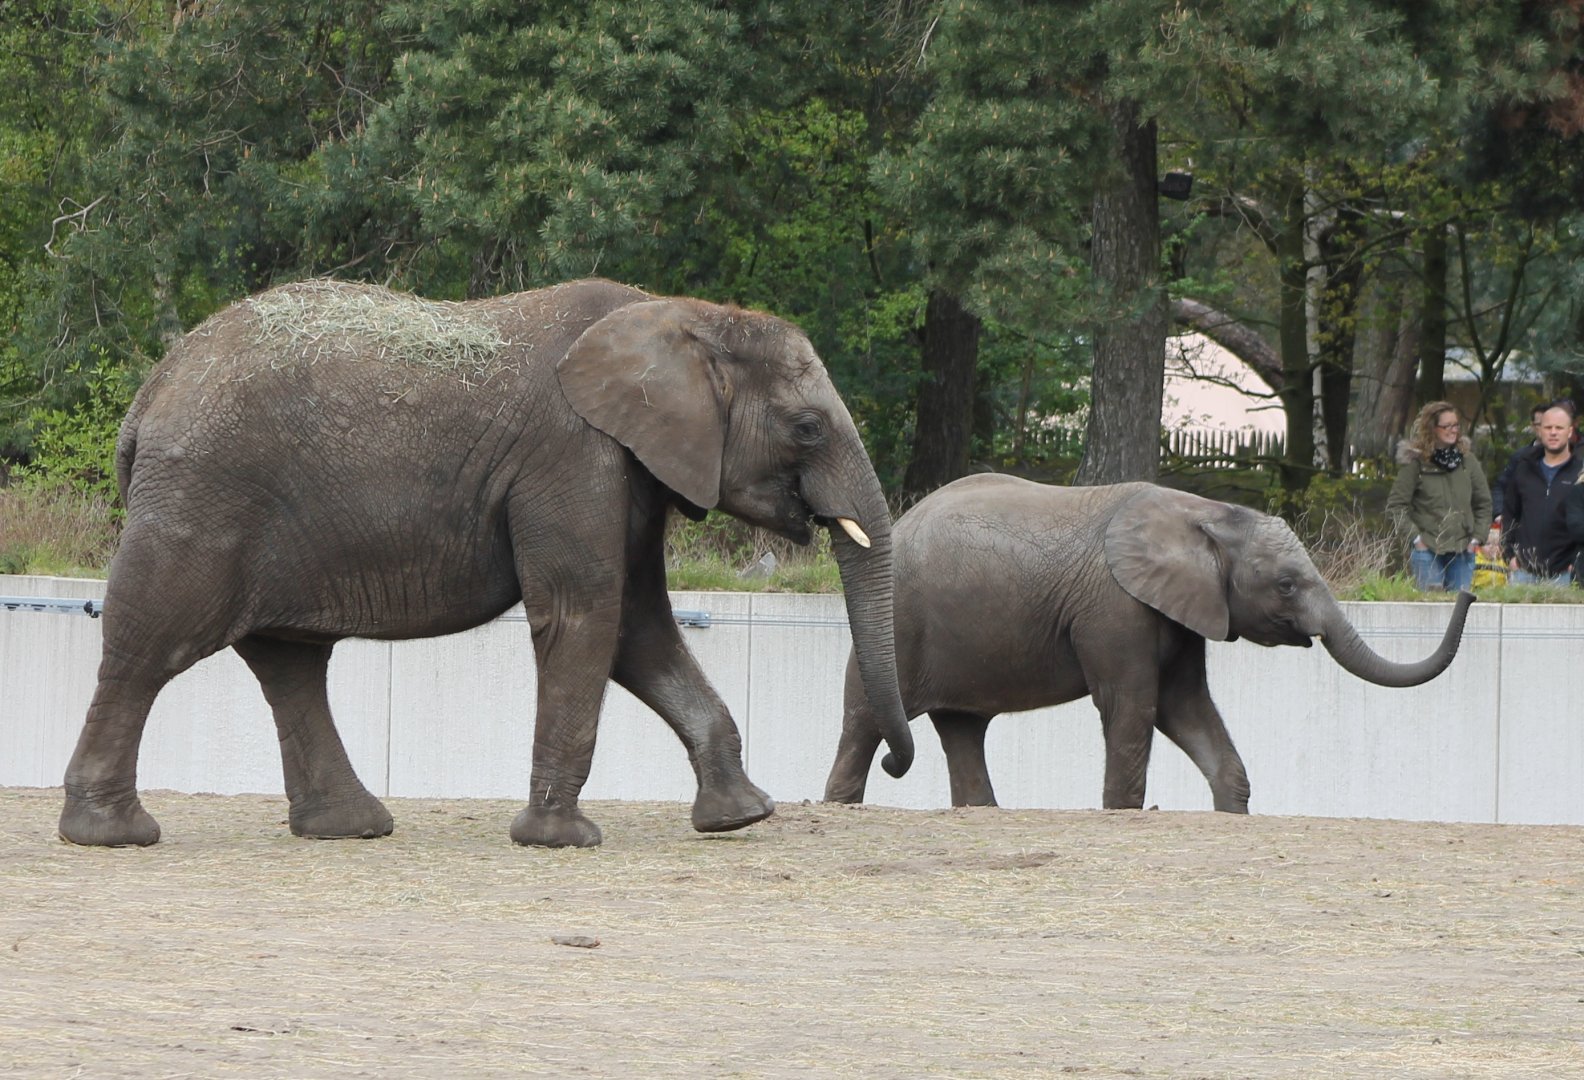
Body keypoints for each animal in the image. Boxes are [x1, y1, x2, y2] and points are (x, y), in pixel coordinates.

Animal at [60, 278, 914, 849]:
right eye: (807, 429)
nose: (895, 763)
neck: (682, 314)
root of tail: (149, 396)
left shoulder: (629, 469)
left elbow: (639, 630)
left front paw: (741, 818)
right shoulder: (573, 456)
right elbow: (586, 614)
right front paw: (561, 840)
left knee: (289, 663)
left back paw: (350, 828)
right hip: (203, 501)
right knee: (151, 644)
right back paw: (112, 834)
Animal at [823, 475, 1473, 812]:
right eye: (1286, 585)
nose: (1467, 591)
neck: (1202, 512)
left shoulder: (1182, 612)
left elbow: (1185, 708)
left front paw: (1232, 807)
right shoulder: (1116, 607)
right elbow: (1132, 708)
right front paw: (1121, 811)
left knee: (963, 730)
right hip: (898, 620)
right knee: (865, 723)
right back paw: (841, 801)